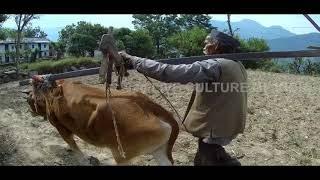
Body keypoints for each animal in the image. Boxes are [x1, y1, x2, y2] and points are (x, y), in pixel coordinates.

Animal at [24, 75, 180, 165]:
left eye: (28, 101)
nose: (30, 112)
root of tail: (146, 103)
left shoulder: (60, 126)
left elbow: (72, 144)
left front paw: (84, 160)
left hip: (121, 154)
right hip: (158, 149)